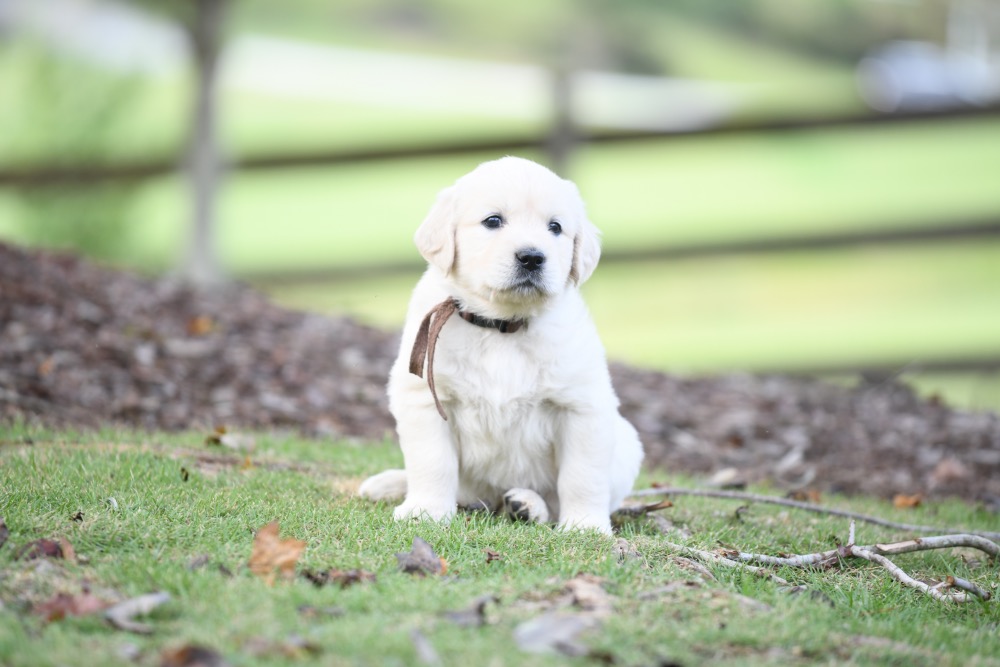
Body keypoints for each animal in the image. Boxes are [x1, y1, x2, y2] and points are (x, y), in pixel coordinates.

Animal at [358, 158, 640, 536]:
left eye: (555, 227)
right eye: (493, 221)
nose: (532, 257)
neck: (502, 326)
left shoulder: (582, 406)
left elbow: (582, 475)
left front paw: (586, 526)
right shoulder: (425, 398)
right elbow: (432, 461)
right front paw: (425, 510)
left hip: (627, 442)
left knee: (553, 497)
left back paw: (527, 505)